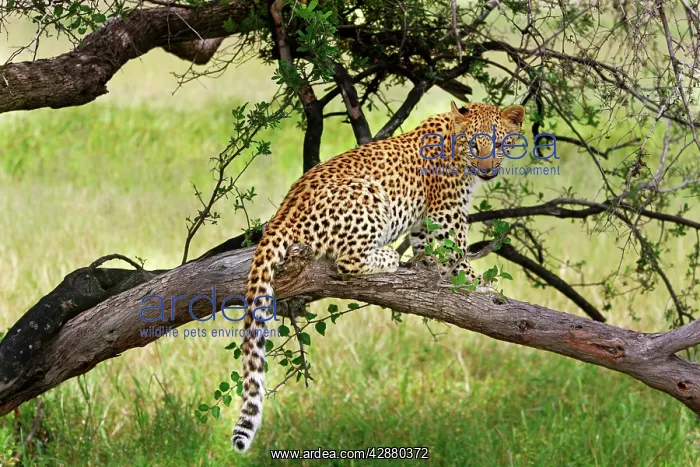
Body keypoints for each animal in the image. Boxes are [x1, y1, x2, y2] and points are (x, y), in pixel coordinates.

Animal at [231, 101, 526, 453]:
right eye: (474, 145)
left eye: (499, 144)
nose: (488, 170)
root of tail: (282, 216)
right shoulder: (447, 213)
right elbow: (457, 256)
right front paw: (483, 287)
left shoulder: (424, 222)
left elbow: (433, 252)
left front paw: (431, 268)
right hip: (368, 196)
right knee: (346, 261)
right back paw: (390, 257)